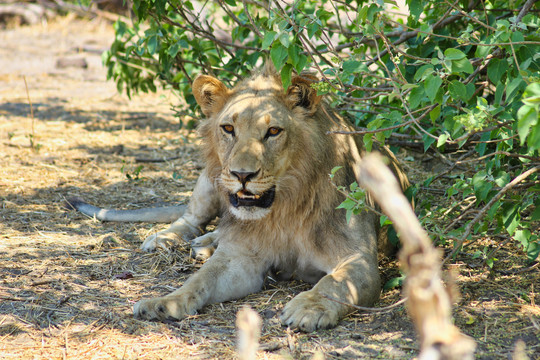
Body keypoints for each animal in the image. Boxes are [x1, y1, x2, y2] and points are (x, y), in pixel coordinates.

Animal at [67, 64, 410, 332]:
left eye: (274, 131)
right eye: (228, 128)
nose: (242, 174)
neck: (283, 208)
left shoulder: (360, 260)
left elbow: (334, 283)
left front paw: (308, 308)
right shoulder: (241, 257)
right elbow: (200, 281)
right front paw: (164, 302)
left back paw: (204, 245)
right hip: (211, 179)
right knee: (192, 219)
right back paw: (171, 239)